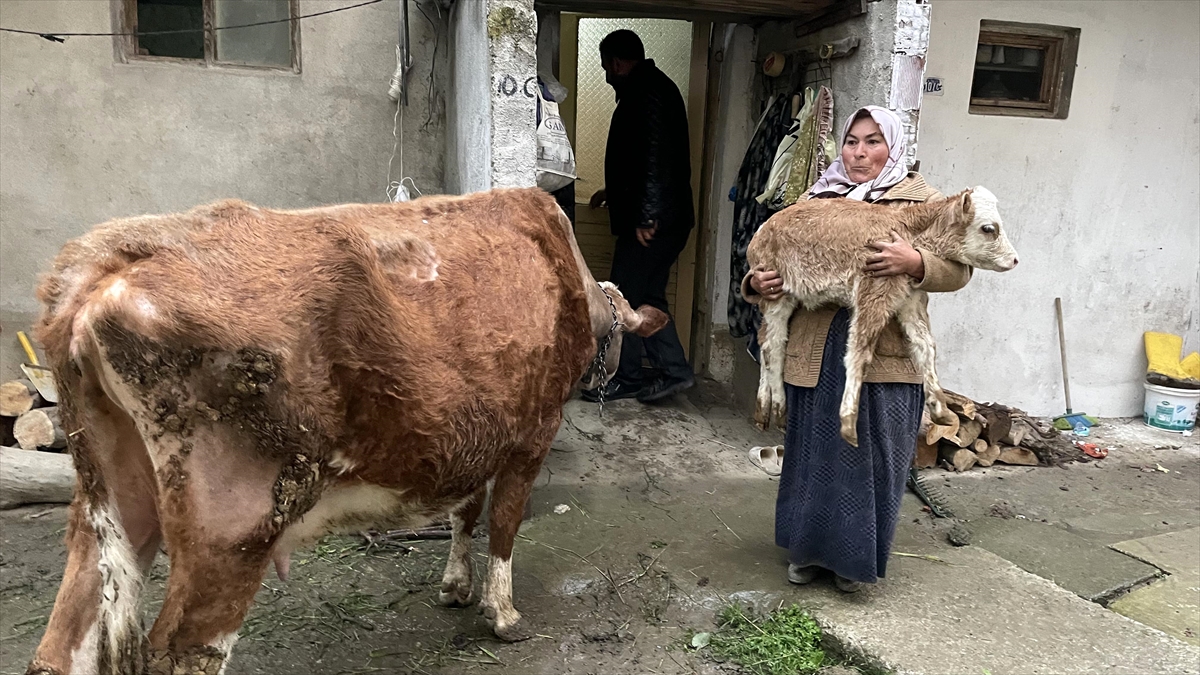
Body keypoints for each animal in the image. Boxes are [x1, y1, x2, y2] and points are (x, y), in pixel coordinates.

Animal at [25, 184, 667, 672]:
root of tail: (109, 262)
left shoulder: (476, 439)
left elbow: (466, 512)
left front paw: (455, 587)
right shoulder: (531, 434)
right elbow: (504, 524)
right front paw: (502, 614)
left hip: (111, 502)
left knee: (62, 644)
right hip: (232, 529)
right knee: (184, 651)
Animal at [748, 186, 1012, 444]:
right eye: (989, 228)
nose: (1015, 259)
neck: (908, 231)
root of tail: (762, 230)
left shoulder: (909, 298)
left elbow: (926, 346)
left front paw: (941, 410)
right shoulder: (873, 292)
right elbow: (859, 353)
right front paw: (848, 421)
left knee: (765, 340)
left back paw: (764, 408)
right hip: (775, 291)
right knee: (772, 346)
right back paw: (779, 406)